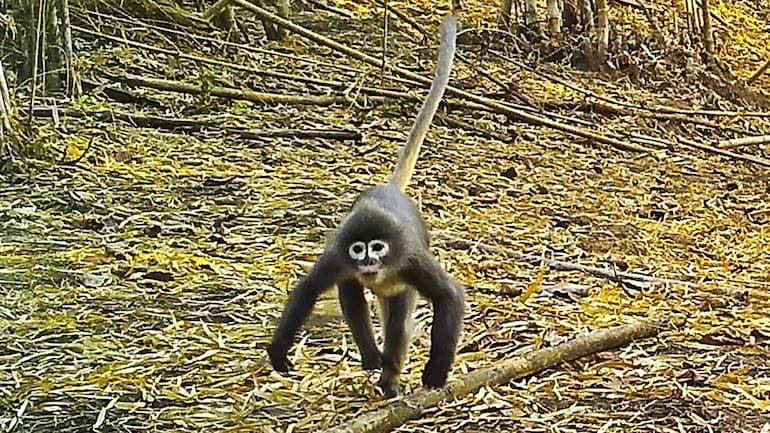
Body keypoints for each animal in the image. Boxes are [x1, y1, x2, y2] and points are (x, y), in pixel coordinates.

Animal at [268, 15, 463, 399]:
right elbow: (309, 289)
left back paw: (389, 378)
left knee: (398, 326)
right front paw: (279, 351)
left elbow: (449, 296)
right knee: (351, 293)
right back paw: (374, 359)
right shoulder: (338, 255)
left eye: (378, 248)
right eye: (359, 249)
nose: (368, 261)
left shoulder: (410, 258)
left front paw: (435, 373)